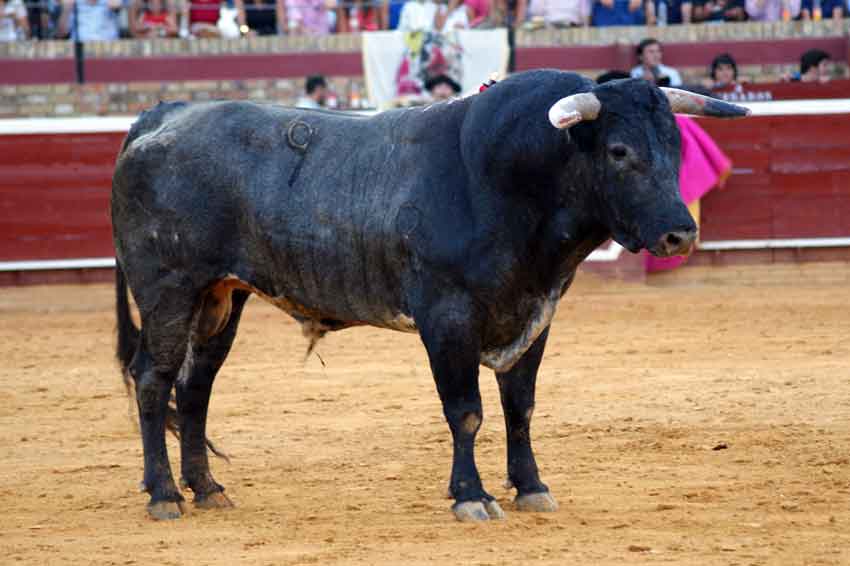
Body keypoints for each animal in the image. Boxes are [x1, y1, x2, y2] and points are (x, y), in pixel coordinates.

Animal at [109, 71, 744, 524]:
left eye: (675, 148)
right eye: (618, 151)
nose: (680, 234)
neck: (504, 181)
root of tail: (162, 116)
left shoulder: (535, 314)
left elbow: (521, 406)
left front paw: (532, 487)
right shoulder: (448, 319)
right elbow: (466, 411)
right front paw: (471, 496)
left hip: (221, 298)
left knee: (194, 387)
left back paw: (208, 489)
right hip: (170, 290)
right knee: (152, 379)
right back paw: (164, 495)